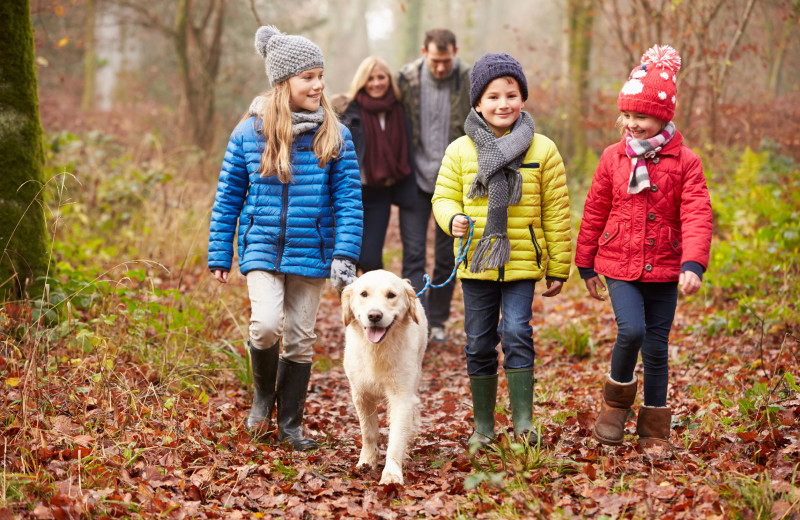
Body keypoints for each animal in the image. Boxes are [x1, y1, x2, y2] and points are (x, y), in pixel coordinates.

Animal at [344, 270, 432, 486]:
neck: (377, 350)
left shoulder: (402, 396)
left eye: (391, 295)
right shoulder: (361, 395)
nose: (374, 315)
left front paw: (391, 474)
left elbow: (396, 437)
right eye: (364, 294)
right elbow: (368, 433)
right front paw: (366, 462)